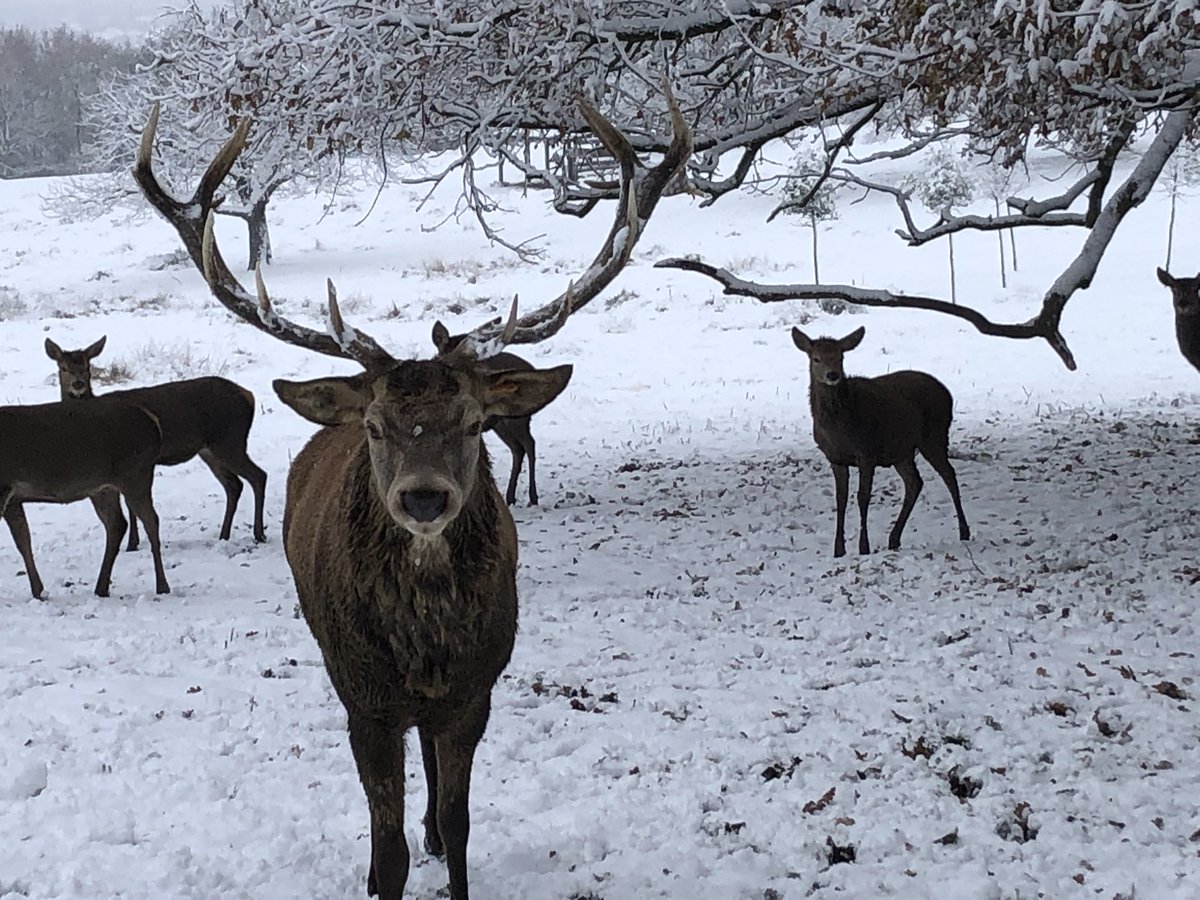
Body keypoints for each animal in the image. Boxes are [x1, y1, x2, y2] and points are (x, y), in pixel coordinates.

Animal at [1, 397, 170, 598]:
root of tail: (153, 421)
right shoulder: (13, 499)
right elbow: (23, 539)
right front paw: (38, 591)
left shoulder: (3, 488)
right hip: (103, 488)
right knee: (117, 524)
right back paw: (101, 588)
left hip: (135, 475)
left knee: (151, 521)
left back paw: (162, 586)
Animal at [44, 335, 268, 549]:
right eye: (63, 368)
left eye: (87, 366)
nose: (78, 384)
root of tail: (249, 395)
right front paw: (132, 542)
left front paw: (131, 543)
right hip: (210, 449)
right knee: (234, 485)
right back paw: (224, 535)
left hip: (230, 440)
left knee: (258, 476)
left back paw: (258, 534)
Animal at [134, 87, 689, 900]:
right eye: (374, 425)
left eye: (476, 421)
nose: (424, 499)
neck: (426, 641)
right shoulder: (363, 699)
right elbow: (386, 845)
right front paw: (381, 868)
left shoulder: (476, 691)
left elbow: (461, 824)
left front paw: (442, 842)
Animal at [791, 325, 971, 558]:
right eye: (816, 358)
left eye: (840, 357)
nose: (833, 375)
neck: (839, 426)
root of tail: (947, 392)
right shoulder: (835, 458)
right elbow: (841, 500)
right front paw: (838, 549)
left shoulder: (866, 452)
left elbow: (863, 497)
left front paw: (863, 547)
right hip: (902, 450)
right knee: (915, 482)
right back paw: (894, 539)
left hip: (934, 435)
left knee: (949, 474)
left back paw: (964, 531)